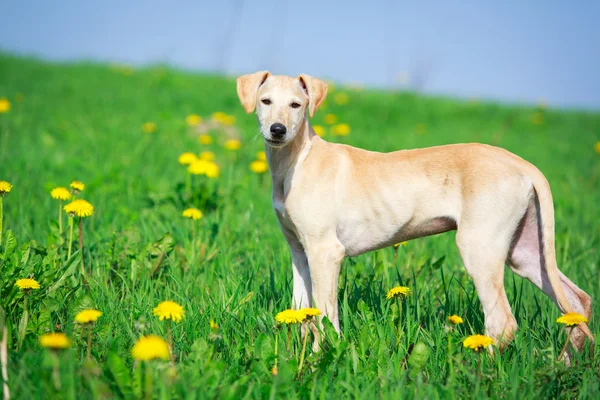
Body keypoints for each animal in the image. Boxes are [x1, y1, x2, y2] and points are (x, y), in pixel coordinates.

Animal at [234, 71, 592, 354]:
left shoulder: (325, 252)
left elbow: (324, 315)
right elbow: (301, 310)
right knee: (577, 303)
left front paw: (322, 360)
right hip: (525, 251)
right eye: (265, 101)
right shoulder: (299, 251)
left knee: (502, 322)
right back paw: (563, 367)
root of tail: (524, 165)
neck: (297, 159)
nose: (277, 130)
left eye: (297, 105)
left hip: (479, 246)